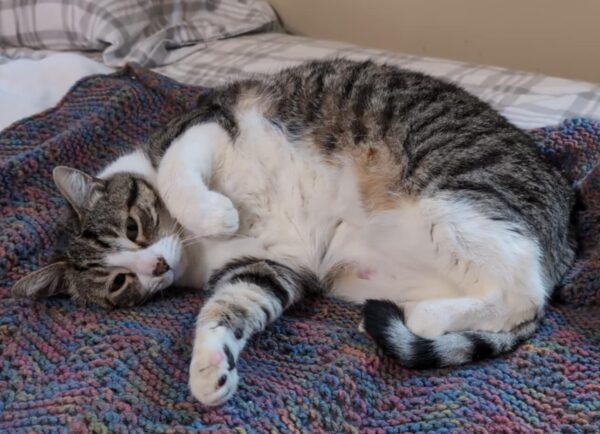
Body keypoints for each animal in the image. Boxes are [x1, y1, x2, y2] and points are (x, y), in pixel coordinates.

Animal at [11, 58, 576, 406]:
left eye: (134, 227)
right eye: (118, 283)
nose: (155, 265)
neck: (194, 254)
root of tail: (565, 233)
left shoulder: (206, 126)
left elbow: (176, 173)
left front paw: (213, 213)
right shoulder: (269, 267)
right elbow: (228, 308)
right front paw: (207, 370)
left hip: (452, 203)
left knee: (524, 294)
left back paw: (424, 316)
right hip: (382, 268)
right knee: (507, 303)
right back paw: (421, 315)